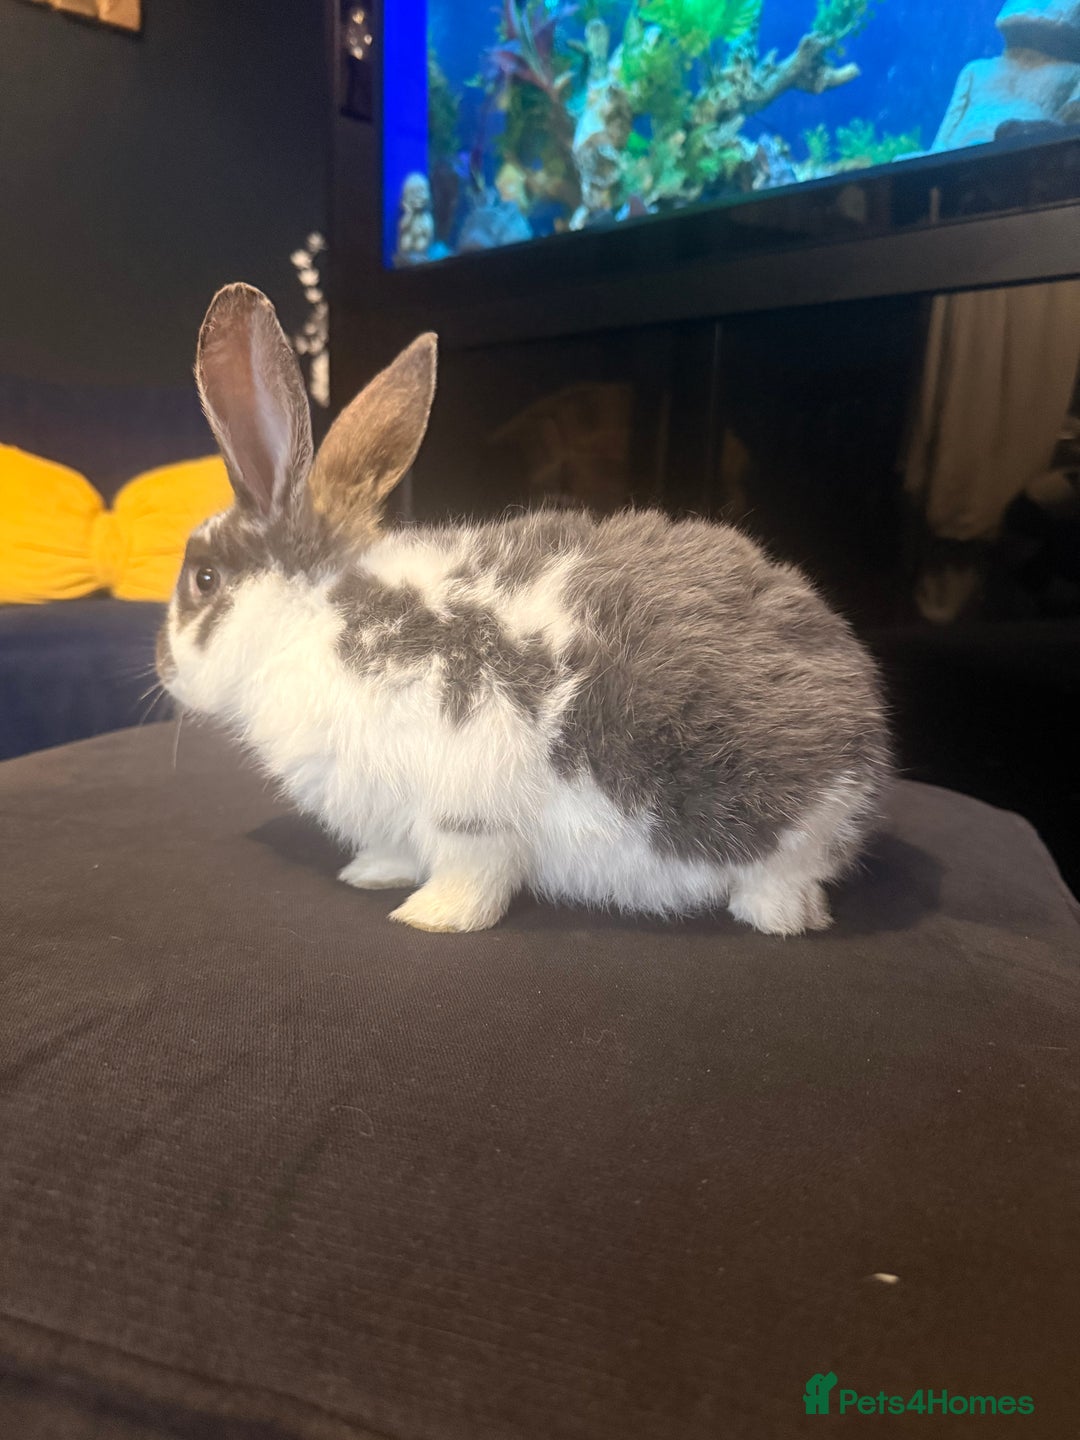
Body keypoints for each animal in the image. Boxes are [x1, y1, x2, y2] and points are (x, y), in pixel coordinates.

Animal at [157, 283, 892, 936]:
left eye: (203, 579)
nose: (164, 670)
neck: (314, 617)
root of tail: (867, 739)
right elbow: (396, 851)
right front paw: (369, 875)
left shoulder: (466, 809)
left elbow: (470, 872)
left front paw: (429, 918)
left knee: (784, 886)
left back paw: (779, 921)